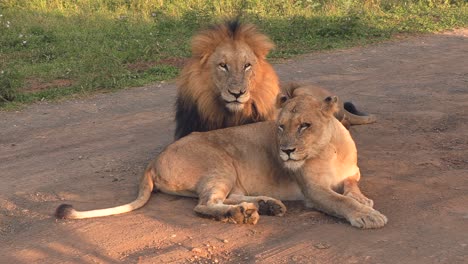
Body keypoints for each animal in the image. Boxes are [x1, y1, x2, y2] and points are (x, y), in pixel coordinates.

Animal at [55, 91, 388, 229]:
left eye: (304, 125)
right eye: (280, 126)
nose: (286, 151)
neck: (328, 149)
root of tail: (154, 159)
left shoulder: (351, 173)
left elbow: (351, 186)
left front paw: (363, 200)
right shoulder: (313, 191)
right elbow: (339, 201)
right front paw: (367, 215)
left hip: (229, 175)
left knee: (227, 197)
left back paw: (265, 206)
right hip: (220, 164)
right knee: (205, 204)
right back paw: (241, 215)